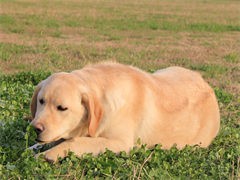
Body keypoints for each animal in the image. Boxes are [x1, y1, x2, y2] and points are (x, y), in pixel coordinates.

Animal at [29, 62, 219, 162]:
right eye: (41, 101)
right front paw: (33, 148)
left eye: (62, 108)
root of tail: (208, 86)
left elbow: (74, 142)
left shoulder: (120, 143)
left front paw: (45, 156)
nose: (35, 128)